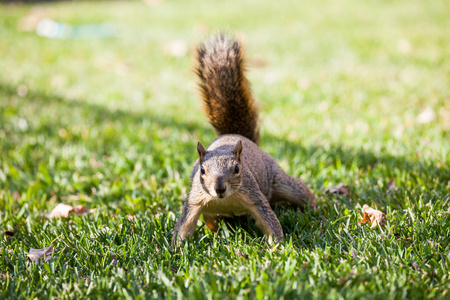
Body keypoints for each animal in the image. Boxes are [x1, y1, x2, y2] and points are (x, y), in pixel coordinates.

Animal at [172, 34, 316, 246]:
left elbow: (269, 221)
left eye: (237, 168)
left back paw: (316, 210)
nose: (219, 188)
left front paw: (277, 247)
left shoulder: (254, 196)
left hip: (279, 180)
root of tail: (238, 137)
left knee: (300, 193)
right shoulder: (195, 200)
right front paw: (177, 248)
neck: (225, 200)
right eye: (202, 170)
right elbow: (184, 225)